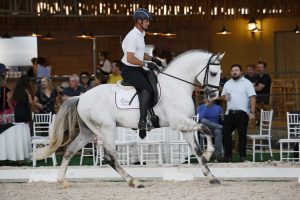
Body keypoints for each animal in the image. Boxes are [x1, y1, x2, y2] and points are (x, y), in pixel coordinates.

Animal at [37, 49, 225, 188]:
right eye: (213, 72)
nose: (214, 95)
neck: (177, 85)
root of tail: (81, 97)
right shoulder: (178, 122)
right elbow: (207, 128)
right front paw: (210, 153)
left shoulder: (184, 126)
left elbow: (197, 149)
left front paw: (211, 176)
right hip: (106, 129)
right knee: (109, 157)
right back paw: (134, 181)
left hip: (89, 132)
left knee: (70, 150)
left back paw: (62, 180)